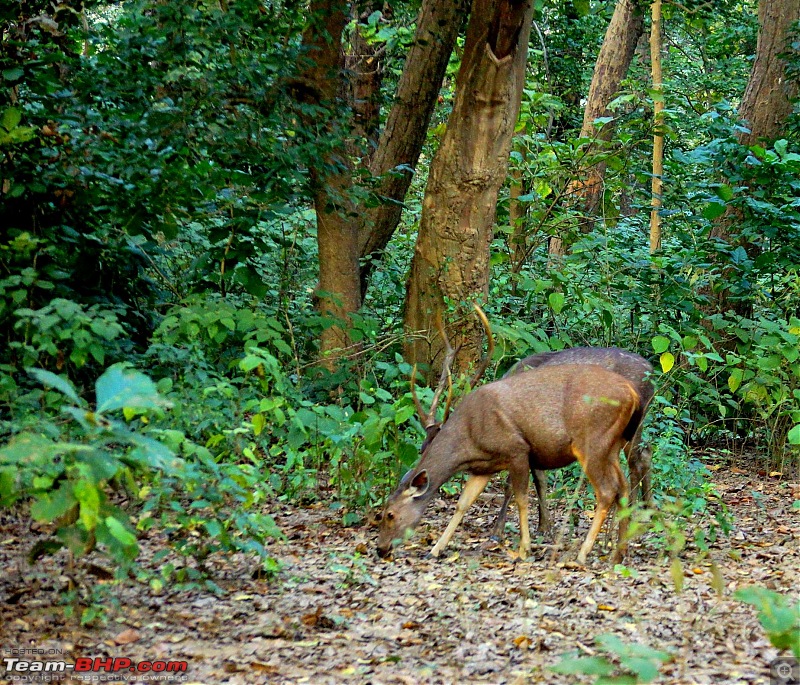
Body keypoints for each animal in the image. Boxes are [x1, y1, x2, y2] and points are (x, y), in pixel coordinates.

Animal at [494, 348, 656, 540]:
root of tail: (651, 371)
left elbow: (512, 484)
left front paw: (498, 530)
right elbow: (540, 480)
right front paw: (544, 526)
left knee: (635, 461)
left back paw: (629, 516)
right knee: (646, 451)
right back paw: (648, 511)